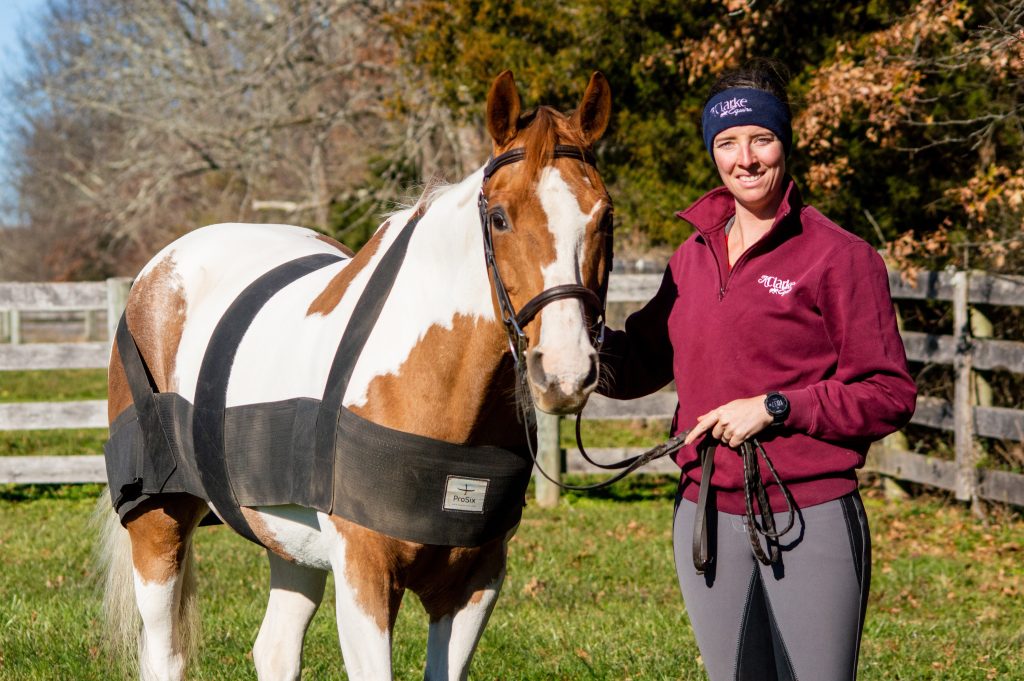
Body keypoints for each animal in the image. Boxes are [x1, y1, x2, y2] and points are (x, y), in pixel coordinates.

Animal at [96, 70, 610, 679]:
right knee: (165, 652)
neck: (437, 394)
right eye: (500, 217)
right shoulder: (364, 576)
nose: (565, 371)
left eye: (605, 217)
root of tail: (159, 269)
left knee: (274, 649)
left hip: (288, 542)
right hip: (158, 527)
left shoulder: (476, 582)